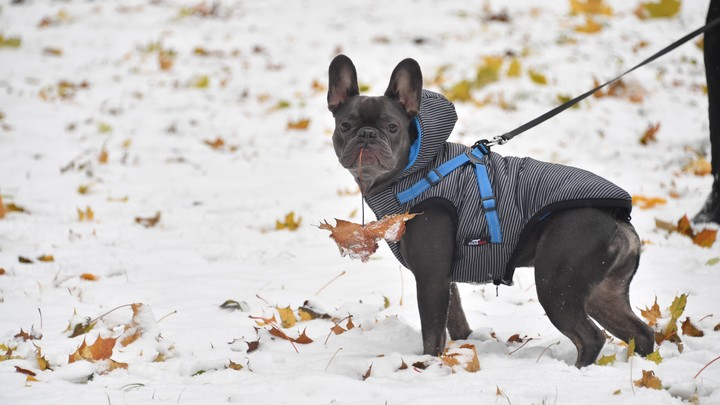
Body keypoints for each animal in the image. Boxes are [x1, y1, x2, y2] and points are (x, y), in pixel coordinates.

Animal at [330, 53, 656, 366]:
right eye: (345, 126)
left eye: (392, 127)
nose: (367, 134)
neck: (415, 169)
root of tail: (616, 220)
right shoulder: (445, 279)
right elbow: (455, 320)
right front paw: (460, 348)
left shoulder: (430, 278)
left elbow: (432, 334)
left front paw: (427, 364)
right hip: (603, 292)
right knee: (640, 332)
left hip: (556, 285)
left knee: (590, 337)